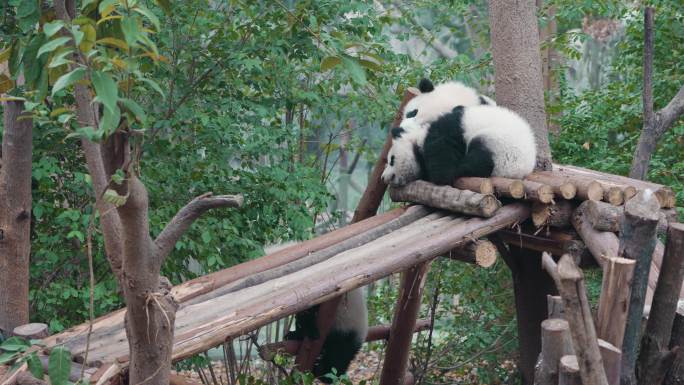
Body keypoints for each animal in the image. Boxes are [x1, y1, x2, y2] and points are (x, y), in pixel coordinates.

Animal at [382, 78, 536, 186]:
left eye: (392, 160)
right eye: (410, 113)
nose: (383, 177)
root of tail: (521, 171)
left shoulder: (442, 134)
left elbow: (443, 168)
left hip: (501, 146)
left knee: (481, 158)